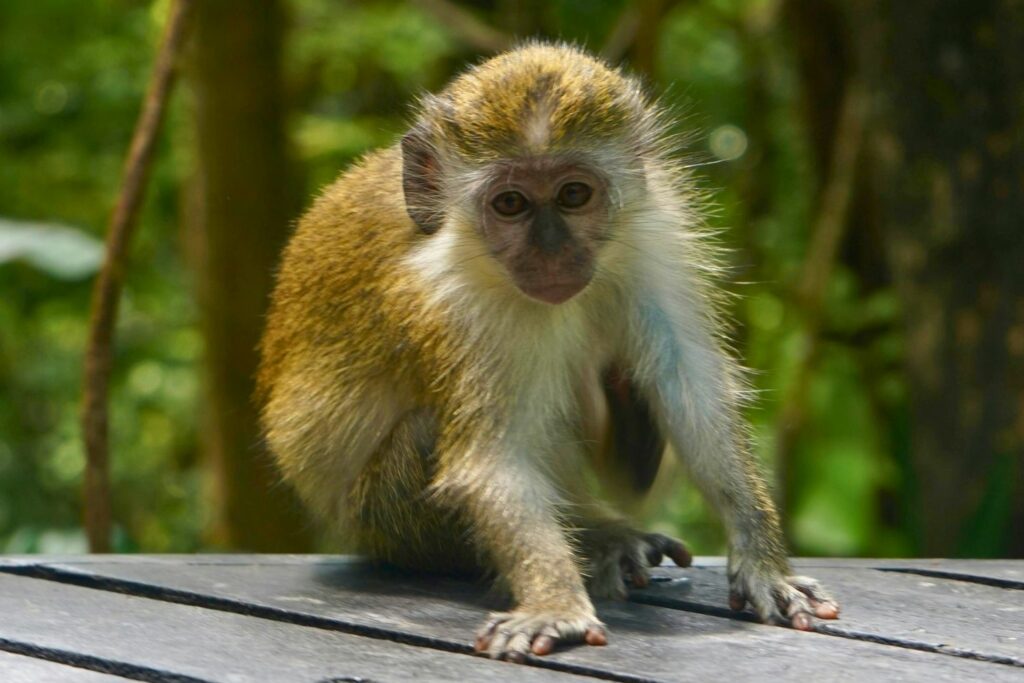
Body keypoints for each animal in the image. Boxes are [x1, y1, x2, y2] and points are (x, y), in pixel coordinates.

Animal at [257, 43, 839, 661]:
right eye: (510, 203)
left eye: (573, 194)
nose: (552, 252)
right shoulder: (459, 306)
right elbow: (495, 460)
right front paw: (555, 601)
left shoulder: (656, 241)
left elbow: (692, 395)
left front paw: (764, 564)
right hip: (383, 523)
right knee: (429, 436)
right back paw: (600, 537)